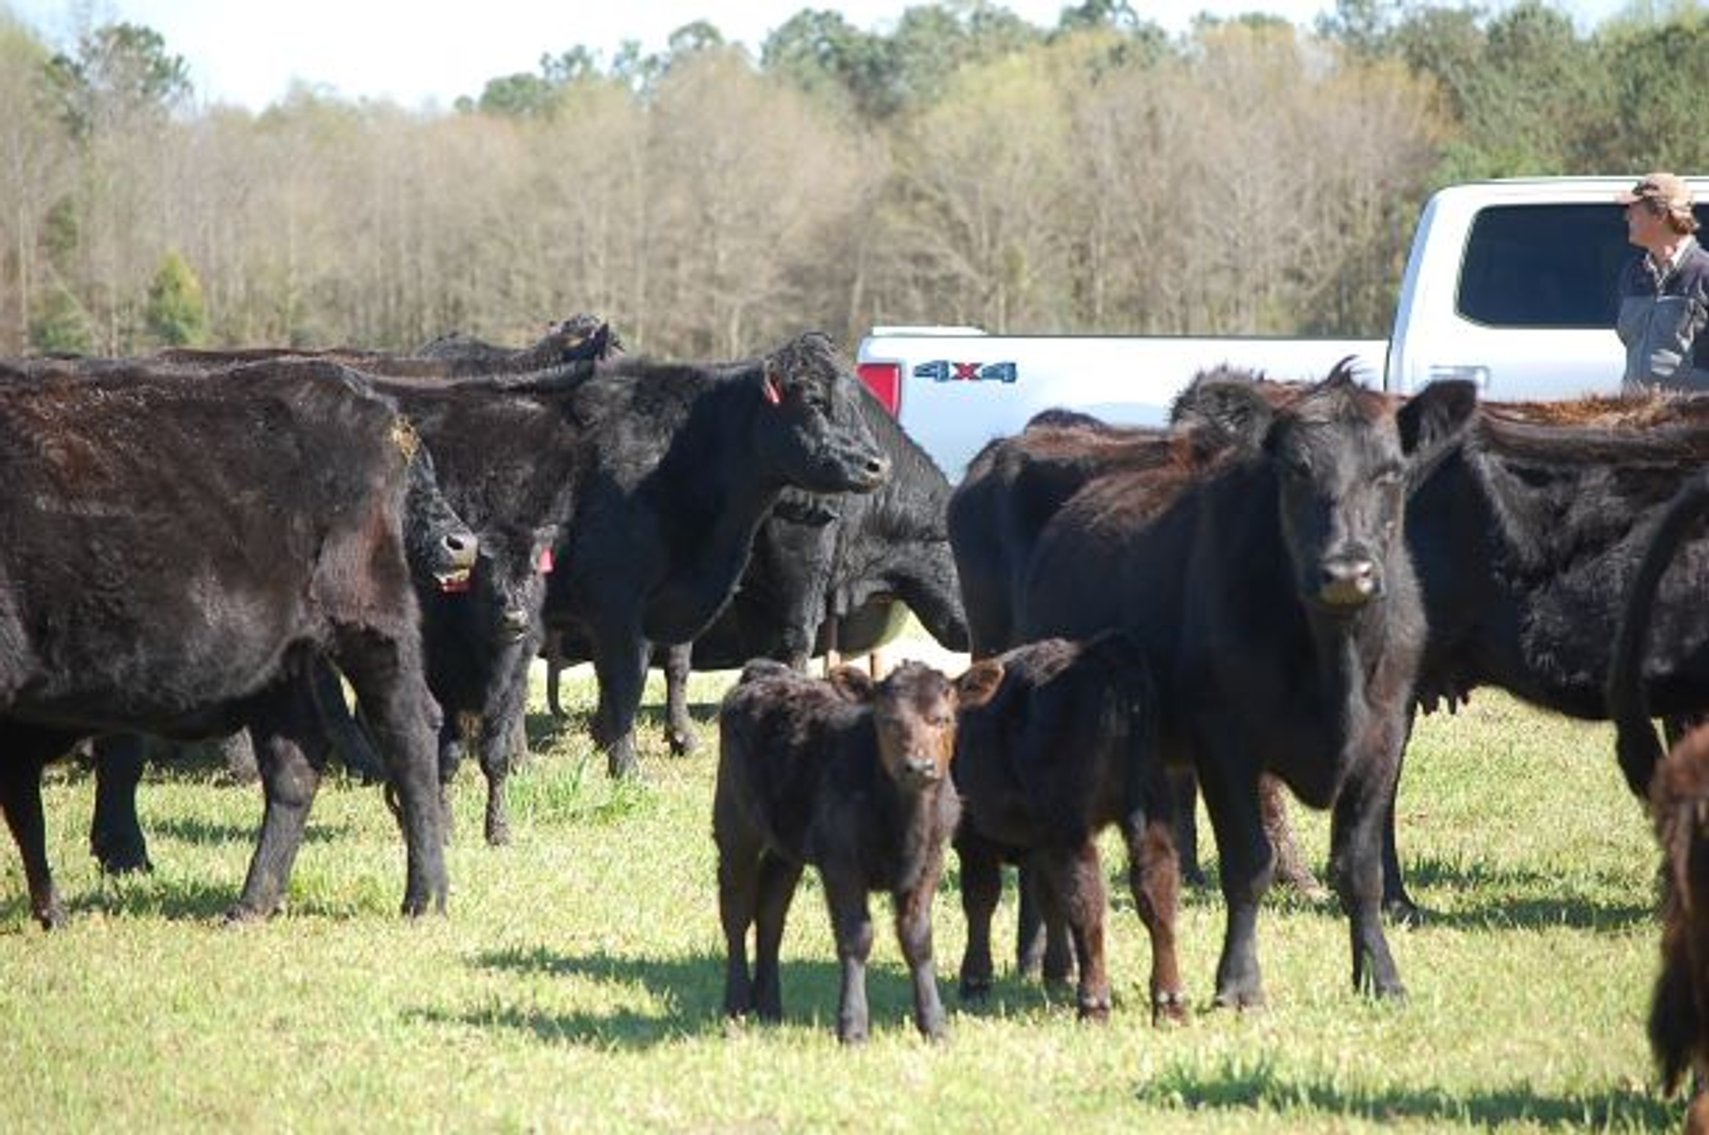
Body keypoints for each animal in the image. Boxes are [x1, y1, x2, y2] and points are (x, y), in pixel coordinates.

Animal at [0, 357, 466, 926]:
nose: (460, 543)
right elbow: (24, 808)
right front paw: (52, 913)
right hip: (281, 661)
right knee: (297, 760)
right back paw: (252, 903)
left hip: (369, 626)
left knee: (408, 735)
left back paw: (425, 896)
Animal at [715, 656, 1004, 1043]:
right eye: (888, 720)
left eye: (943, 719)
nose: (919, 766)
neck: (905, 824)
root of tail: (765, 671)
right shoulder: (842, 862)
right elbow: (856, 937)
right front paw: (852, 1027)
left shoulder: (931, 861)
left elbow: (918, 938)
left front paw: (934, 1025)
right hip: (734, 824)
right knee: (737, 909)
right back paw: (736, 1003)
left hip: (785, 847)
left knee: (771, 913)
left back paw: (770, 1007)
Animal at [952, 631, 1184, 1023]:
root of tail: (1102, 654)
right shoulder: (1039, 844)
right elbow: (1048, 900)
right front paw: (1058, 973)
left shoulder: (974, 838)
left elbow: (980, 900)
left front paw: (975, 981)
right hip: (1152, 809)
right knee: (1158, 889)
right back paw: (1170, 1001)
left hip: (1072, 828)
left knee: (1088, 902)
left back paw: (1094, 1002)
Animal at [1020, 366, 1476, 1006]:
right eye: (1296, 470)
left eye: (1390, 472)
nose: (1347, 572)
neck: (1332, 659)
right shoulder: (1225, 742)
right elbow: (1250, 863)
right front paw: (1238, 983)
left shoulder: (1384, 738)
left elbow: (1361, 870)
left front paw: (1381, 977)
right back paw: (1038, 960)